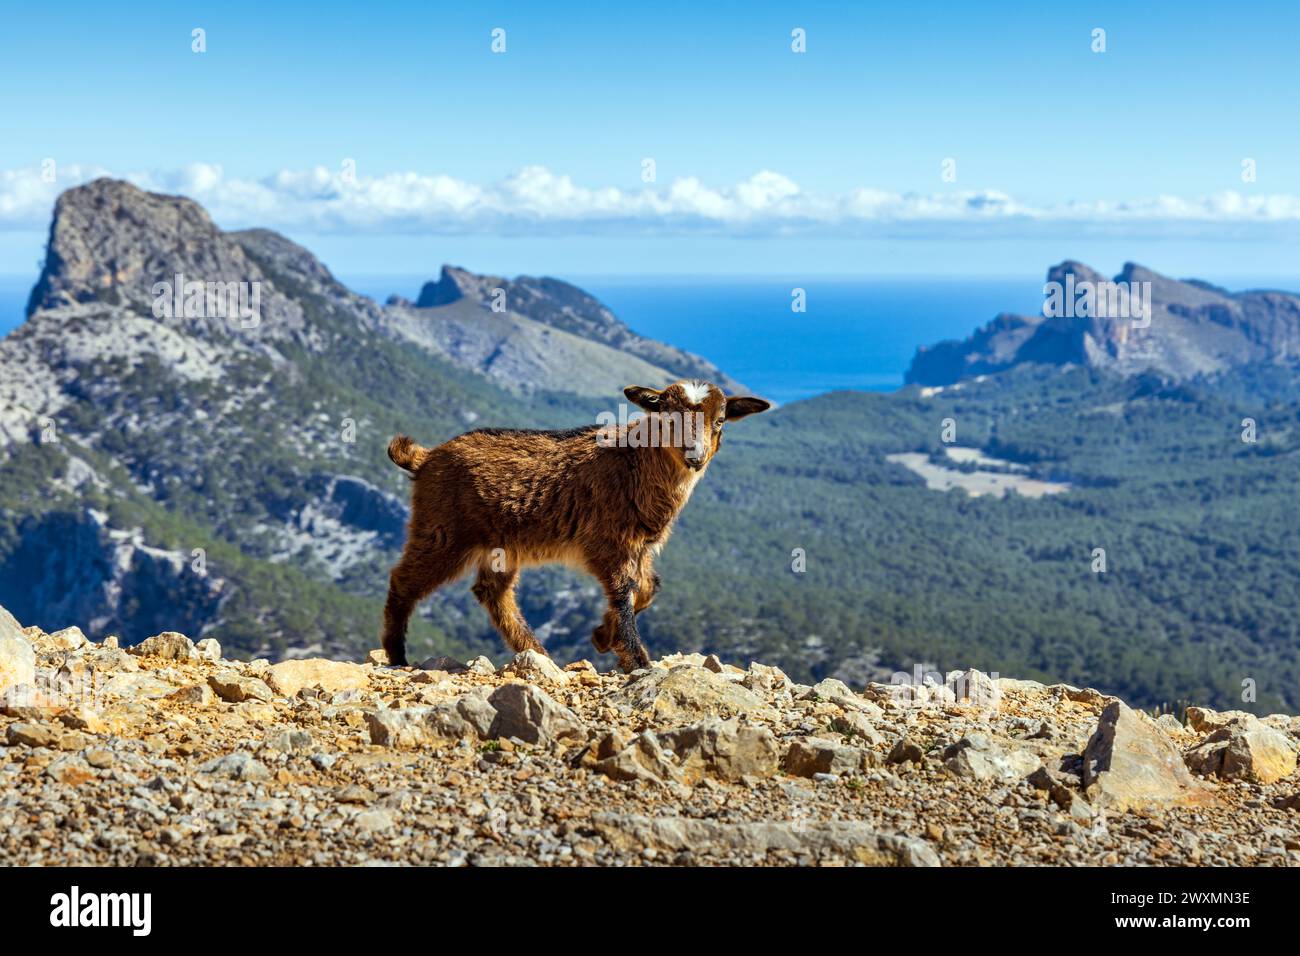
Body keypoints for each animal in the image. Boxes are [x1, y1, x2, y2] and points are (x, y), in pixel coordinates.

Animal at [381, 380, 771, 672]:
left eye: (720, 419)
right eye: (666, 417)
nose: (695, 456)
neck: (636, 462)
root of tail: (425, 457)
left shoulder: (640, 546)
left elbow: (648, 588)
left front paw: (601, 635)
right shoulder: (608, 541)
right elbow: (624, 591)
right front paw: (637, 659)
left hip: (501, 545)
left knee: (491, 591)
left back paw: (538, 652)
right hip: (442, 530)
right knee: (404, 581)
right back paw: (397, 655)